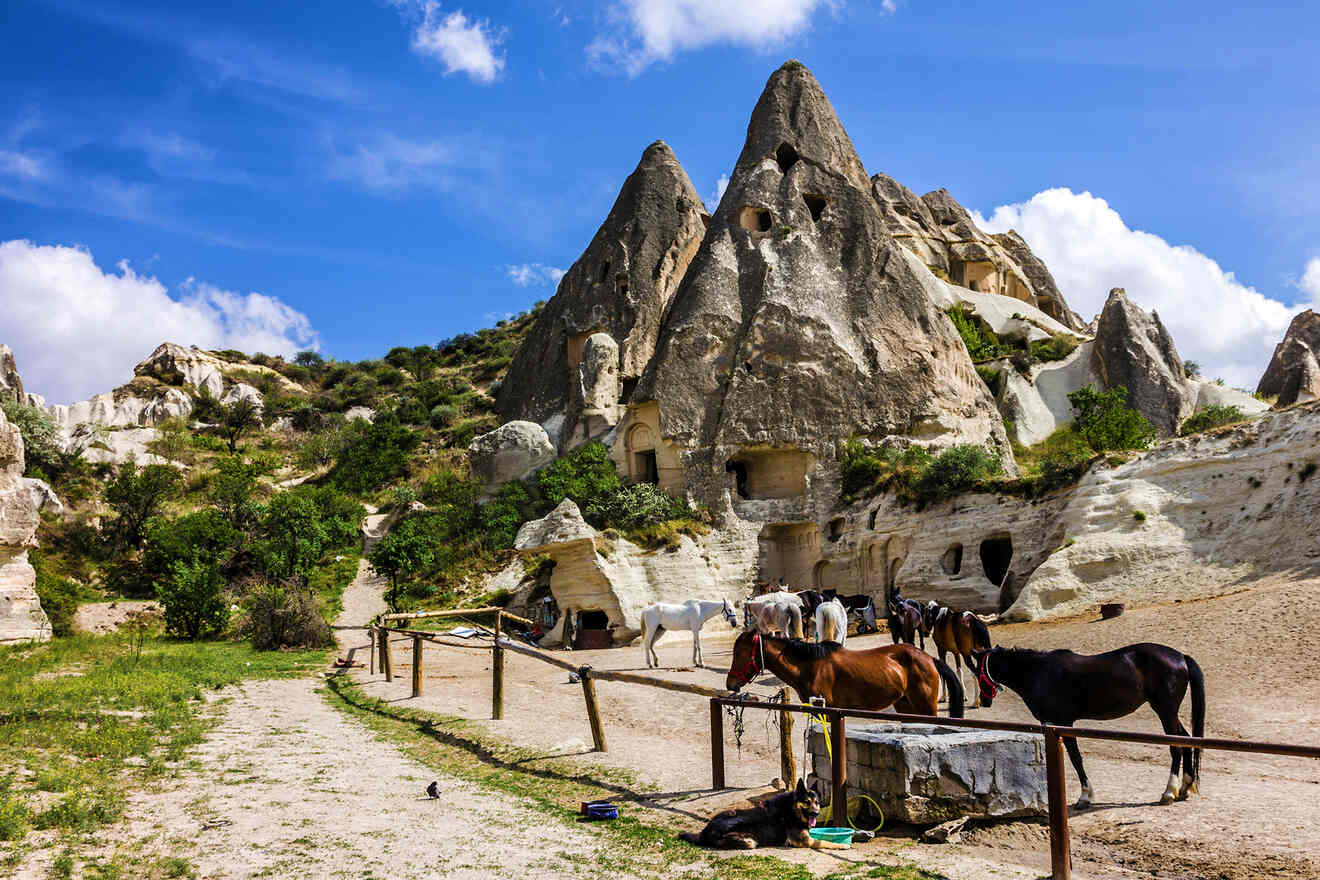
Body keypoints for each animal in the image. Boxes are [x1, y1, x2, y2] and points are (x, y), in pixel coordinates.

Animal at [681, 781, 844, 849]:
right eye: (806, 802)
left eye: (817, 802)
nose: (816, 813)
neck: (792, 810)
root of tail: (705, 832)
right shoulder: (805, 841)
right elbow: (825, 842)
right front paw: (842, 846)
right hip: (750, 840)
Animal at [728, 630, 966, 717]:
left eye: (739, 653)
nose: (730, 683)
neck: (811, 666)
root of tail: (929, 659)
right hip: (906, 706)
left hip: (926, 706)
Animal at [971, 643, 1209, 807]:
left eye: (976, 669)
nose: (984, 699)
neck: (1039, 672)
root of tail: (1181, 657)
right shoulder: (1051, 725)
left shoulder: (1063, 722)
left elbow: (1076, 758)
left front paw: (1085, 796)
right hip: (1169, 713)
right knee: (1186, 739)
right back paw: (1185, 786)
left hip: (1165, 711)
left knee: (1176, 747)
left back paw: (1169, 792)